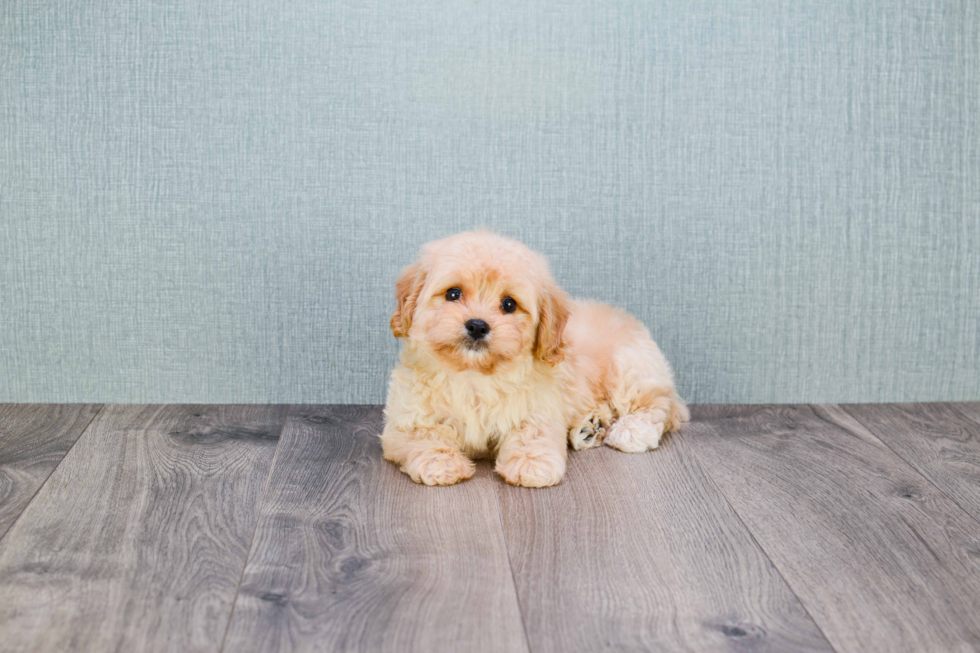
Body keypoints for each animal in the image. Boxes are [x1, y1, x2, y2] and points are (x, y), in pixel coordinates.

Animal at [380, 232, 688, 486]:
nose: (477, 326)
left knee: (660, 406)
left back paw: (631, 430)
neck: (474, 375)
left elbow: (531, 434)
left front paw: (530, 464)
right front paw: (441, 461)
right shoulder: (405, 420)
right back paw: (590, 427)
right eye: (453, 293)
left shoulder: (539, 408)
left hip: (630, 367)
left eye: (509, 304)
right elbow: (424, 435)